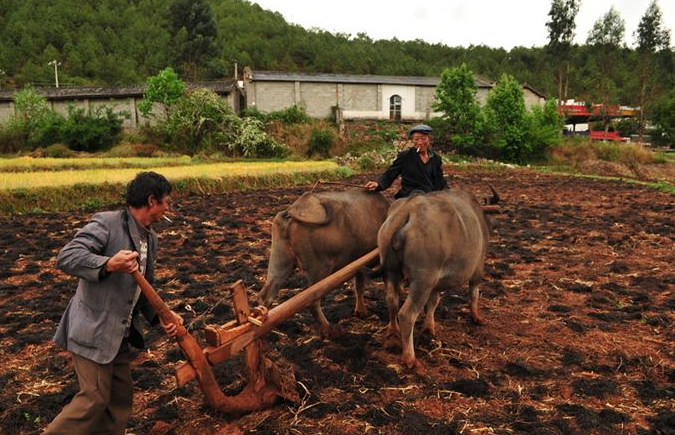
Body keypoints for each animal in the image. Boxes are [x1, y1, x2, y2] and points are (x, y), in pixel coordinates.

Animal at [260, 190, 390, 338]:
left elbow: (359, 286)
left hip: (280, 261)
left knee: (265, 295)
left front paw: (360, 311)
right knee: (313, 302)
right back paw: (329, 329)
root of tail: (291, 210)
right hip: (320, 269)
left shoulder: (359, 263)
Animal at [378, 189, 494, 370]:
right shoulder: (478, 268)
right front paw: (477, 317)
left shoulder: (435, 283)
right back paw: (410, 359)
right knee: (407, 314)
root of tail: (408, 208)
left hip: (391, 272)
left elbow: (433, 302)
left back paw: (393, 332)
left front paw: (429, 327)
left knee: (392, 301)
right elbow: (474, 293)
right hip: (422, 281)